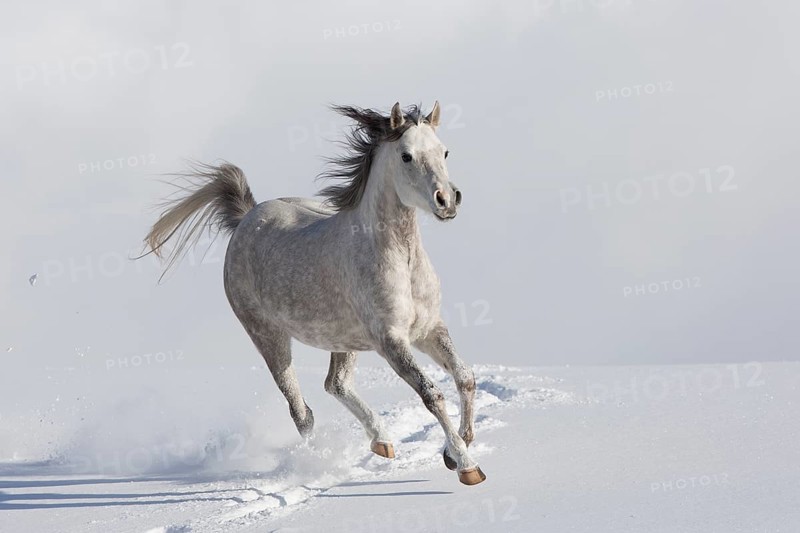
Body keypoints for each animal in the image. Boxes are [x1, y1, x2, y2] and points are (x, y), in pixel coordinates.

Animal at [142, 102, 485, 485]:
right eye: (406, 155)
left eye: (444, 151)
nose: (447, 200)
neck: (401, 260)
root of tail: (246, 218)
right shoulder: (391, 341)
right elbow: (432, 394)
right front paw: (467, 466)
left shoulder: (428, 330)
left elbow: (465, 378)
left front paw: (453, 453)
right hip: (269, 338)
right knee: (301, 410)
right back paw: (318, 460)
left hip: (344, 339)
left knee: (335, 384)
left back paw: (382, 442)